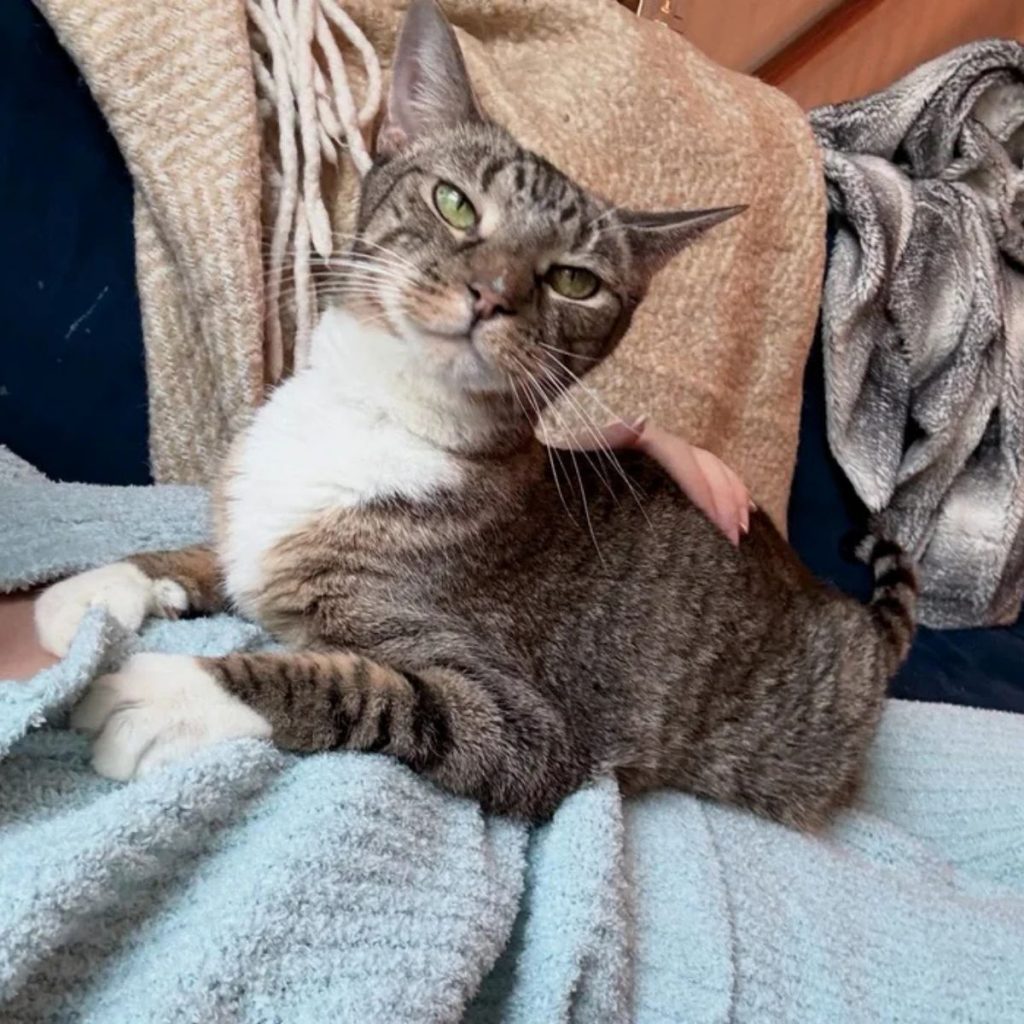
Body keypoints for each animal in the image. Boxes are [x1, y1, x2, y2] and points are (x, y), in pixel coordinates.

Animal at [32, 0, 917, 827]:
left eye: (575, 281)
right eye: (455, 205)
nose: (492, 293)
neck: (375, 410)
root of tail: (852, 622)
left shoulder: (528, 725)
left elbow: (358, 688)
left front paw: (168, 693)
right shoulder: (256, 524)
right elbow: (209, 557)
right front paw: (105, 588)